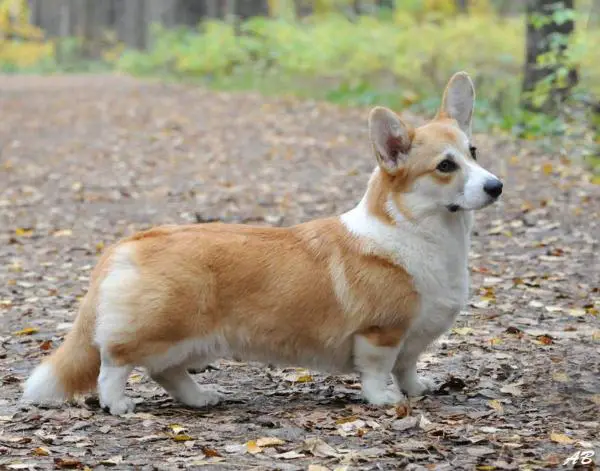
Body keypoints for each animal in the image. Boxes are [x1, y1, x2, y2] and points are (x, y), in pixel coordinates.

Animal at [22, 72, 502, 414]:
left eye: (474, 152)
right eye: (444, 166)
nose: (496, 186)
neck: (416, 231)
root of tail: (127, 244)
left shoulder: (411, 340)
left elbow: (408, 367)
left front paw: (418, 389)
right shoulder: (380, 333)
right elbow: (378, 370)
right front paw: (384, 399)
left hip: (188, 340)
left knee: (166, 372)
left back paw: (200, 397)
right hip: (159, 328)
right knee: (115, 361)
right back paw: (118, 403)